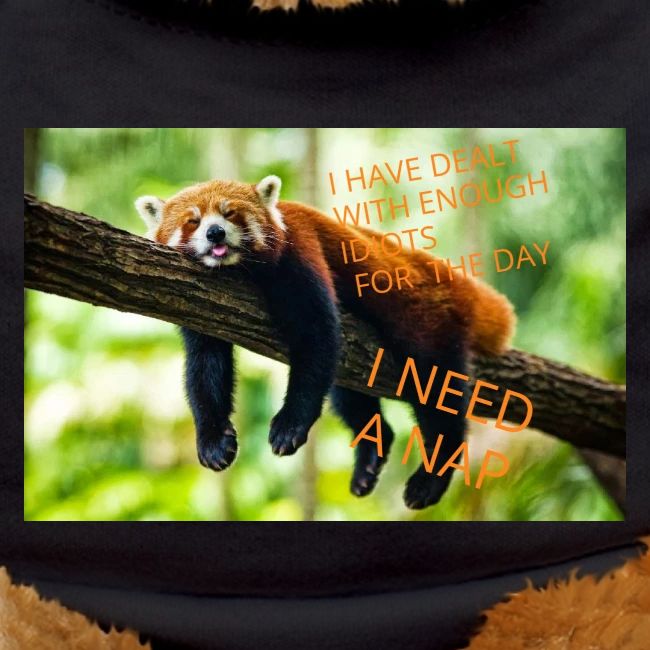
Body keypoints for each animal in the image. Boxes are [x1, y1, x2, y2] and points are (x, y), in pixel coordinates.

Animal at [136, 175, 515, 509]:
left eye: (230, 214)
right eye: (193, 221)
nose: (215, 232)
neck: (238, 271)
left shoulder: (300, 252)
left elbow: (316, 338)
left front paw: (290, 425)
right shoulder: (200, 304)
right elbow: (205, 367)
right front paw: (213, 440)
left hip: (427, 323)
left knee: (436, 392)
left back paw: (431, 477)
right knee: (349, 395)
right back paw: (369, 458)